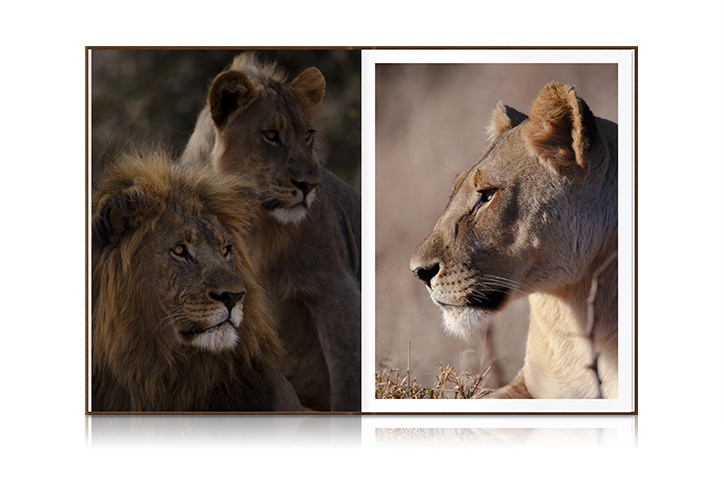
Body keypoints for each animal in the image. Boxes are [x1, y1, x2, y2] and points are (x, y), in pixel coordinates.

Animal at [181, 53, 361, 411]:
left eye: (308, 134)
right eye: (271, 135)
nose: (309, 185)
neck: (253, 222)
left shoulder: (337, 288)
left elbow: (349, 385)